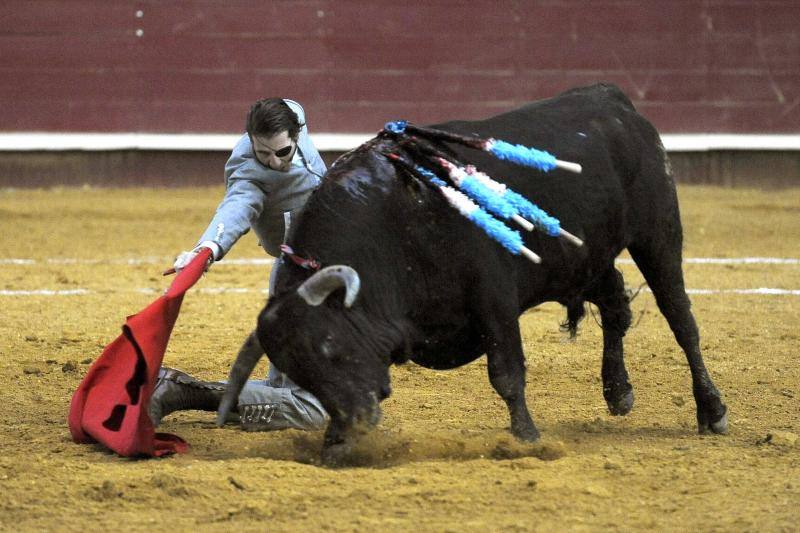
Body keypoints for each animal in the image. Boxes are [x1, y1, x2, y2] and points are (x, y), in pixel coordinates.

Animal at [216, 83, 728, 462]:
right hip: (583, 258)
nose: (352, 432)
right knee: (616, 306)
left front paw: (526, 438)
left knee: (680, 319)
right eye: (299, 371)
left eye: (329, 347)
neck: (397, 222)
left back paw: (712, 410)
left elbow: (506, 373)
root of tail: (613, 99)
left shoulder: (494, 298)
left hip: (658, 234)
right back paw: (618, 393)